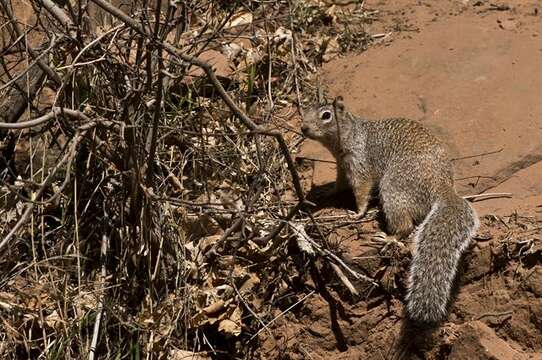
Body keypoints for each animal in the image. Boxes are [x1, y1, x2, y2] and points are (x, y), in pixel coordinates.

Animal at [304, 95, 482, 324]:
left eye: (326, 115)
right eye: (305, 109)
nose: (303, 128)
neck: (352, 134)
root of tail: (440, 186)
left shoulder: (359, 165)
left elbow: (361, 191)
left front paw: (358, 213)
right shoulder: (342, 168)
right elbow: (339, 185)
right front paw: (325, 193)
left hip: (392, 187)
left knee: (406, 226)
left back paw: (388, 238)